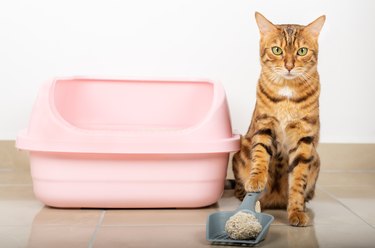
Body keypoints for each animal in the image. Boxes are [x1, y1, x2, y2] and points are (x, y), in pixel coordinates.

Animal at [232, 13, 326, 227]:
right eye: (277, 50)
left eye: (302, 51)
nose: (289, 66)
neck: (287, 92)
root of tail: (275, 200)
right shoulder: (264, 125)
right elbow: (260, 155)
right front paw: (256, 179)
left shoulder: (304, 138)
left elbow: (298, 179)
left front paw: (296, 211)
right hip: (241, 149)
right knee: (240, 191)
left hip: (316, 159)